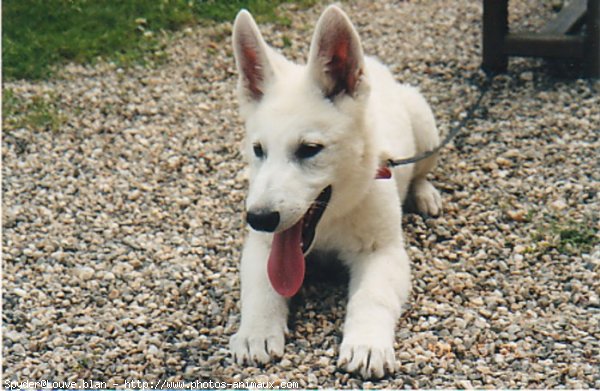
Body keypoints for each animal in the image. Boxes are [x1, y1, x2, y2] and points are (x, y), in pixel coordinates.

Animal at [230, 4, 440, 380]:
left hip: (425, 126)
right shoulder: (262, 246)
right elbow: (260, 289)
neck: (329, 223)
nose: (259, 219)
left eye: (309, 149)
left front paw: (367, 344)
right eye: (258, 150)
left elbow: (372, 297)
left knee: (421, 171)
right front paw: (256, 332)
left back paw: (424, 193)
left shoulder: (383, 252)